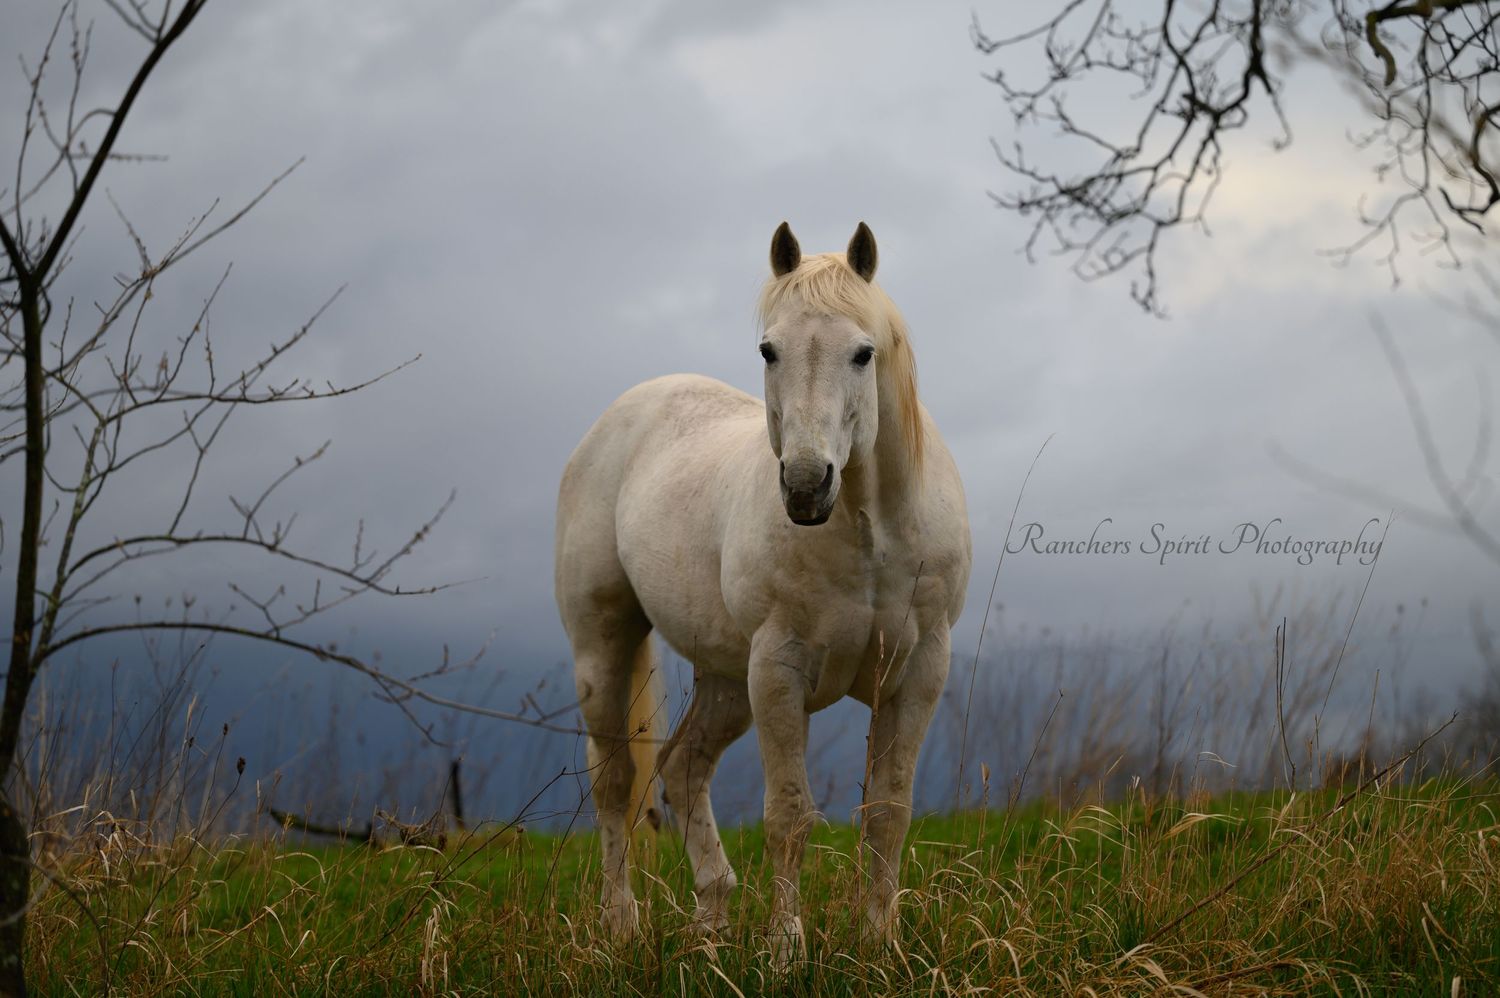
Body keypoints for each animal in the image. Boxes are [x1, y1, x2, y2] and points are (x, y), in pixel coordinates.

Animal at [554, 221, 971, 960]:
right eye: (768, 349)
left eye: (863, 353)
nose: (806, 487)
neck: (872, 533)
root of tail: (617, 421)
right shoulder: (780, 669)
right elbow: (789, 816)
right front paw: (785, 952)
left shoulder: (919, 671)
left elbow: (888, 812)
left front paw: (880, 945)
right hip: (604, 649)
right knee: (616, 782)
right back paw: (621, 927)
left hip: (725, 678)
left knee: (683, 766)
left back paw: (711, 925)